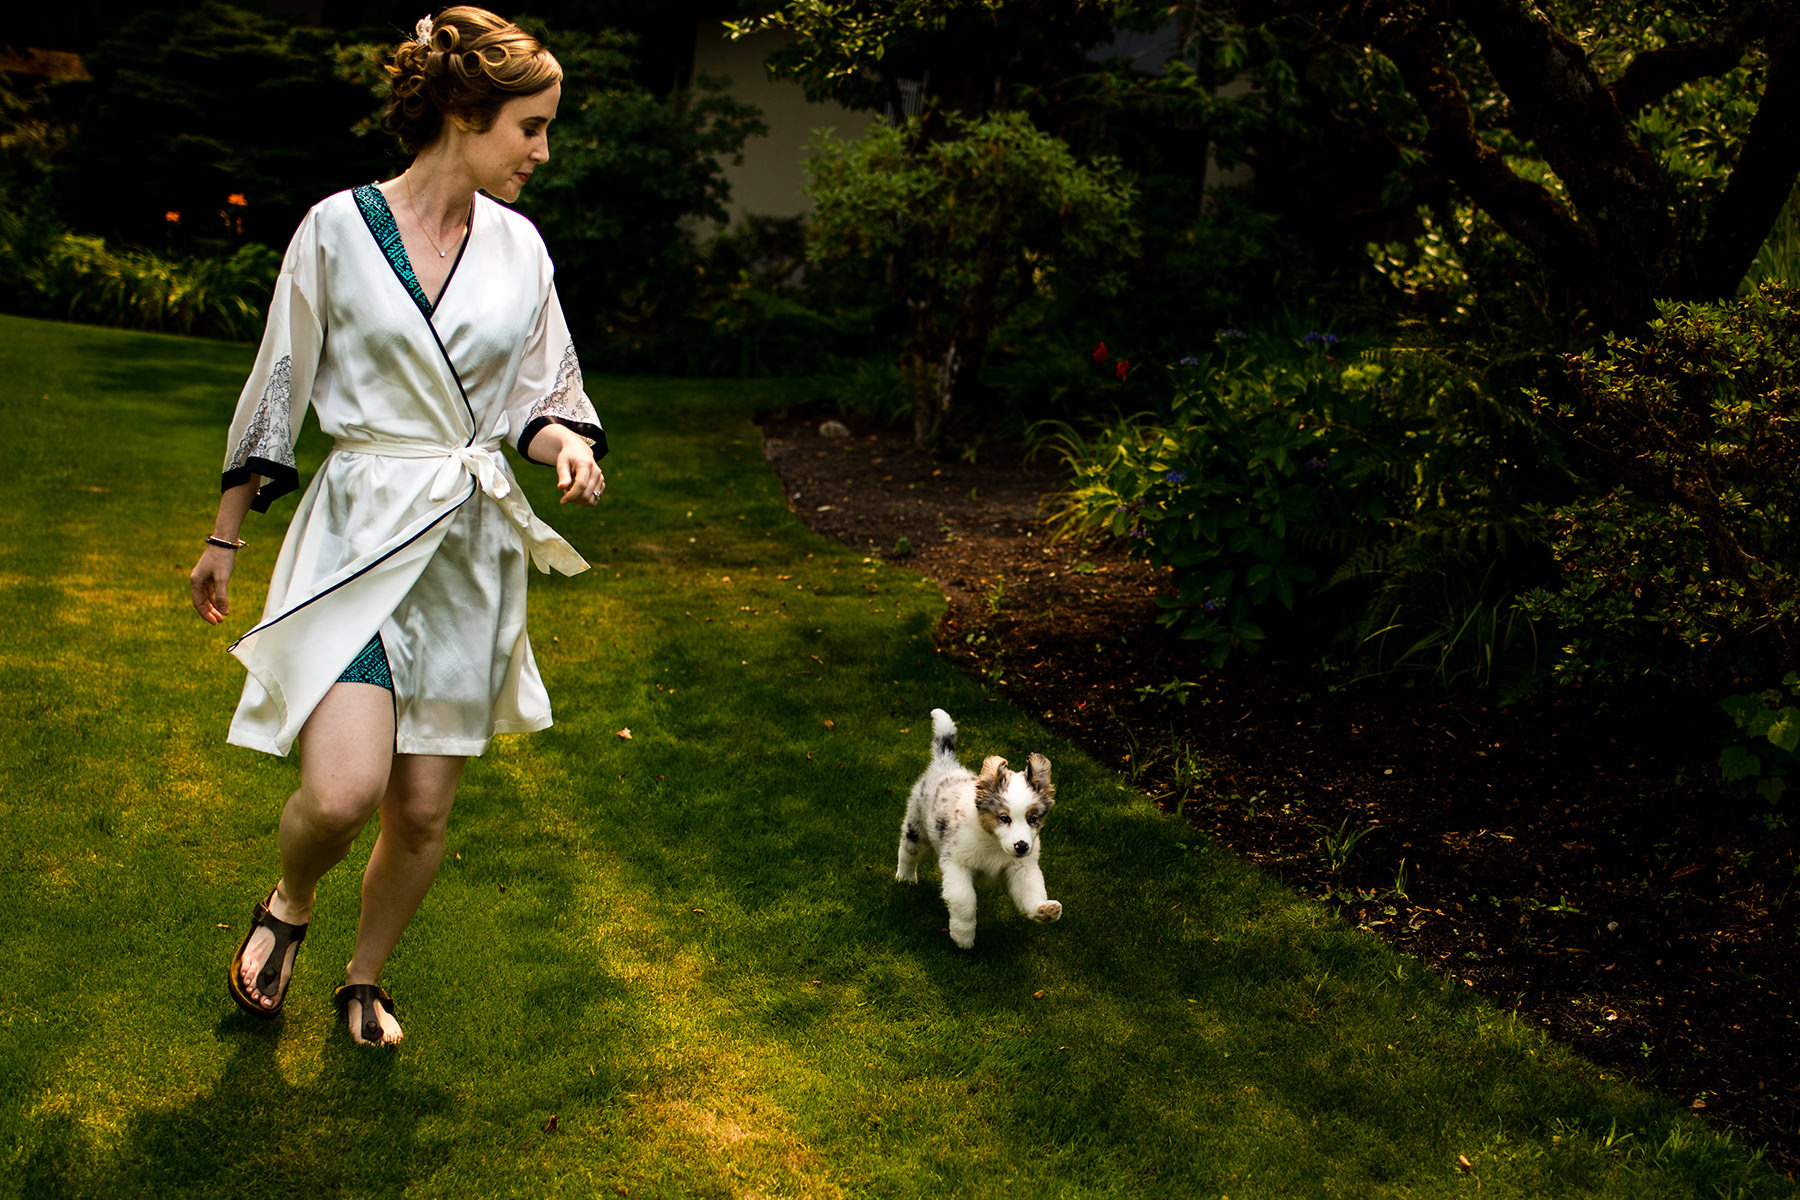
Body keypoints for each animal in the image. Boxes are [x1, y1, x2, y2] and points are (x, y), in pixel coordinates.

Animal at [896, 708, 1058, 949]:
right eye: (1004, 818)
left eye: (1033, 818)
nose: (1021, 846)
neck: (993, 844)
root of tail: (946, 763)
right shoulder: (956, 862)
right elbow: (965, 900)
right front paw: (963, 937)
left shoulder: (1022, 867)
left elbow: (1031, 889)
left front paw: (1044, 910)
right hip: (917, 827)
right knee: (907, 851)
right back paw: (905, 878)